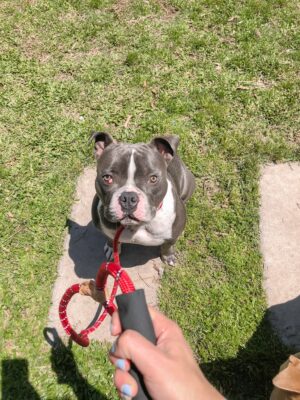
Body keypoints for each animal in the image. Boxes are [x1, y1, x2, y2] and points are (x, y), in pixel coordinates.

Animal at [90, 133, 196, 268]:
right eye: (107, 178)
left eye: (153, 178)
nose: (128, 197)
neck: (136, 226)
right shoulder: (104, 230)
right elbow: (110, 238)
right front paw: (112, 248)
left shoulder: (172, 236)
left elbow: (167, 245)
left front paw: (168, 256)